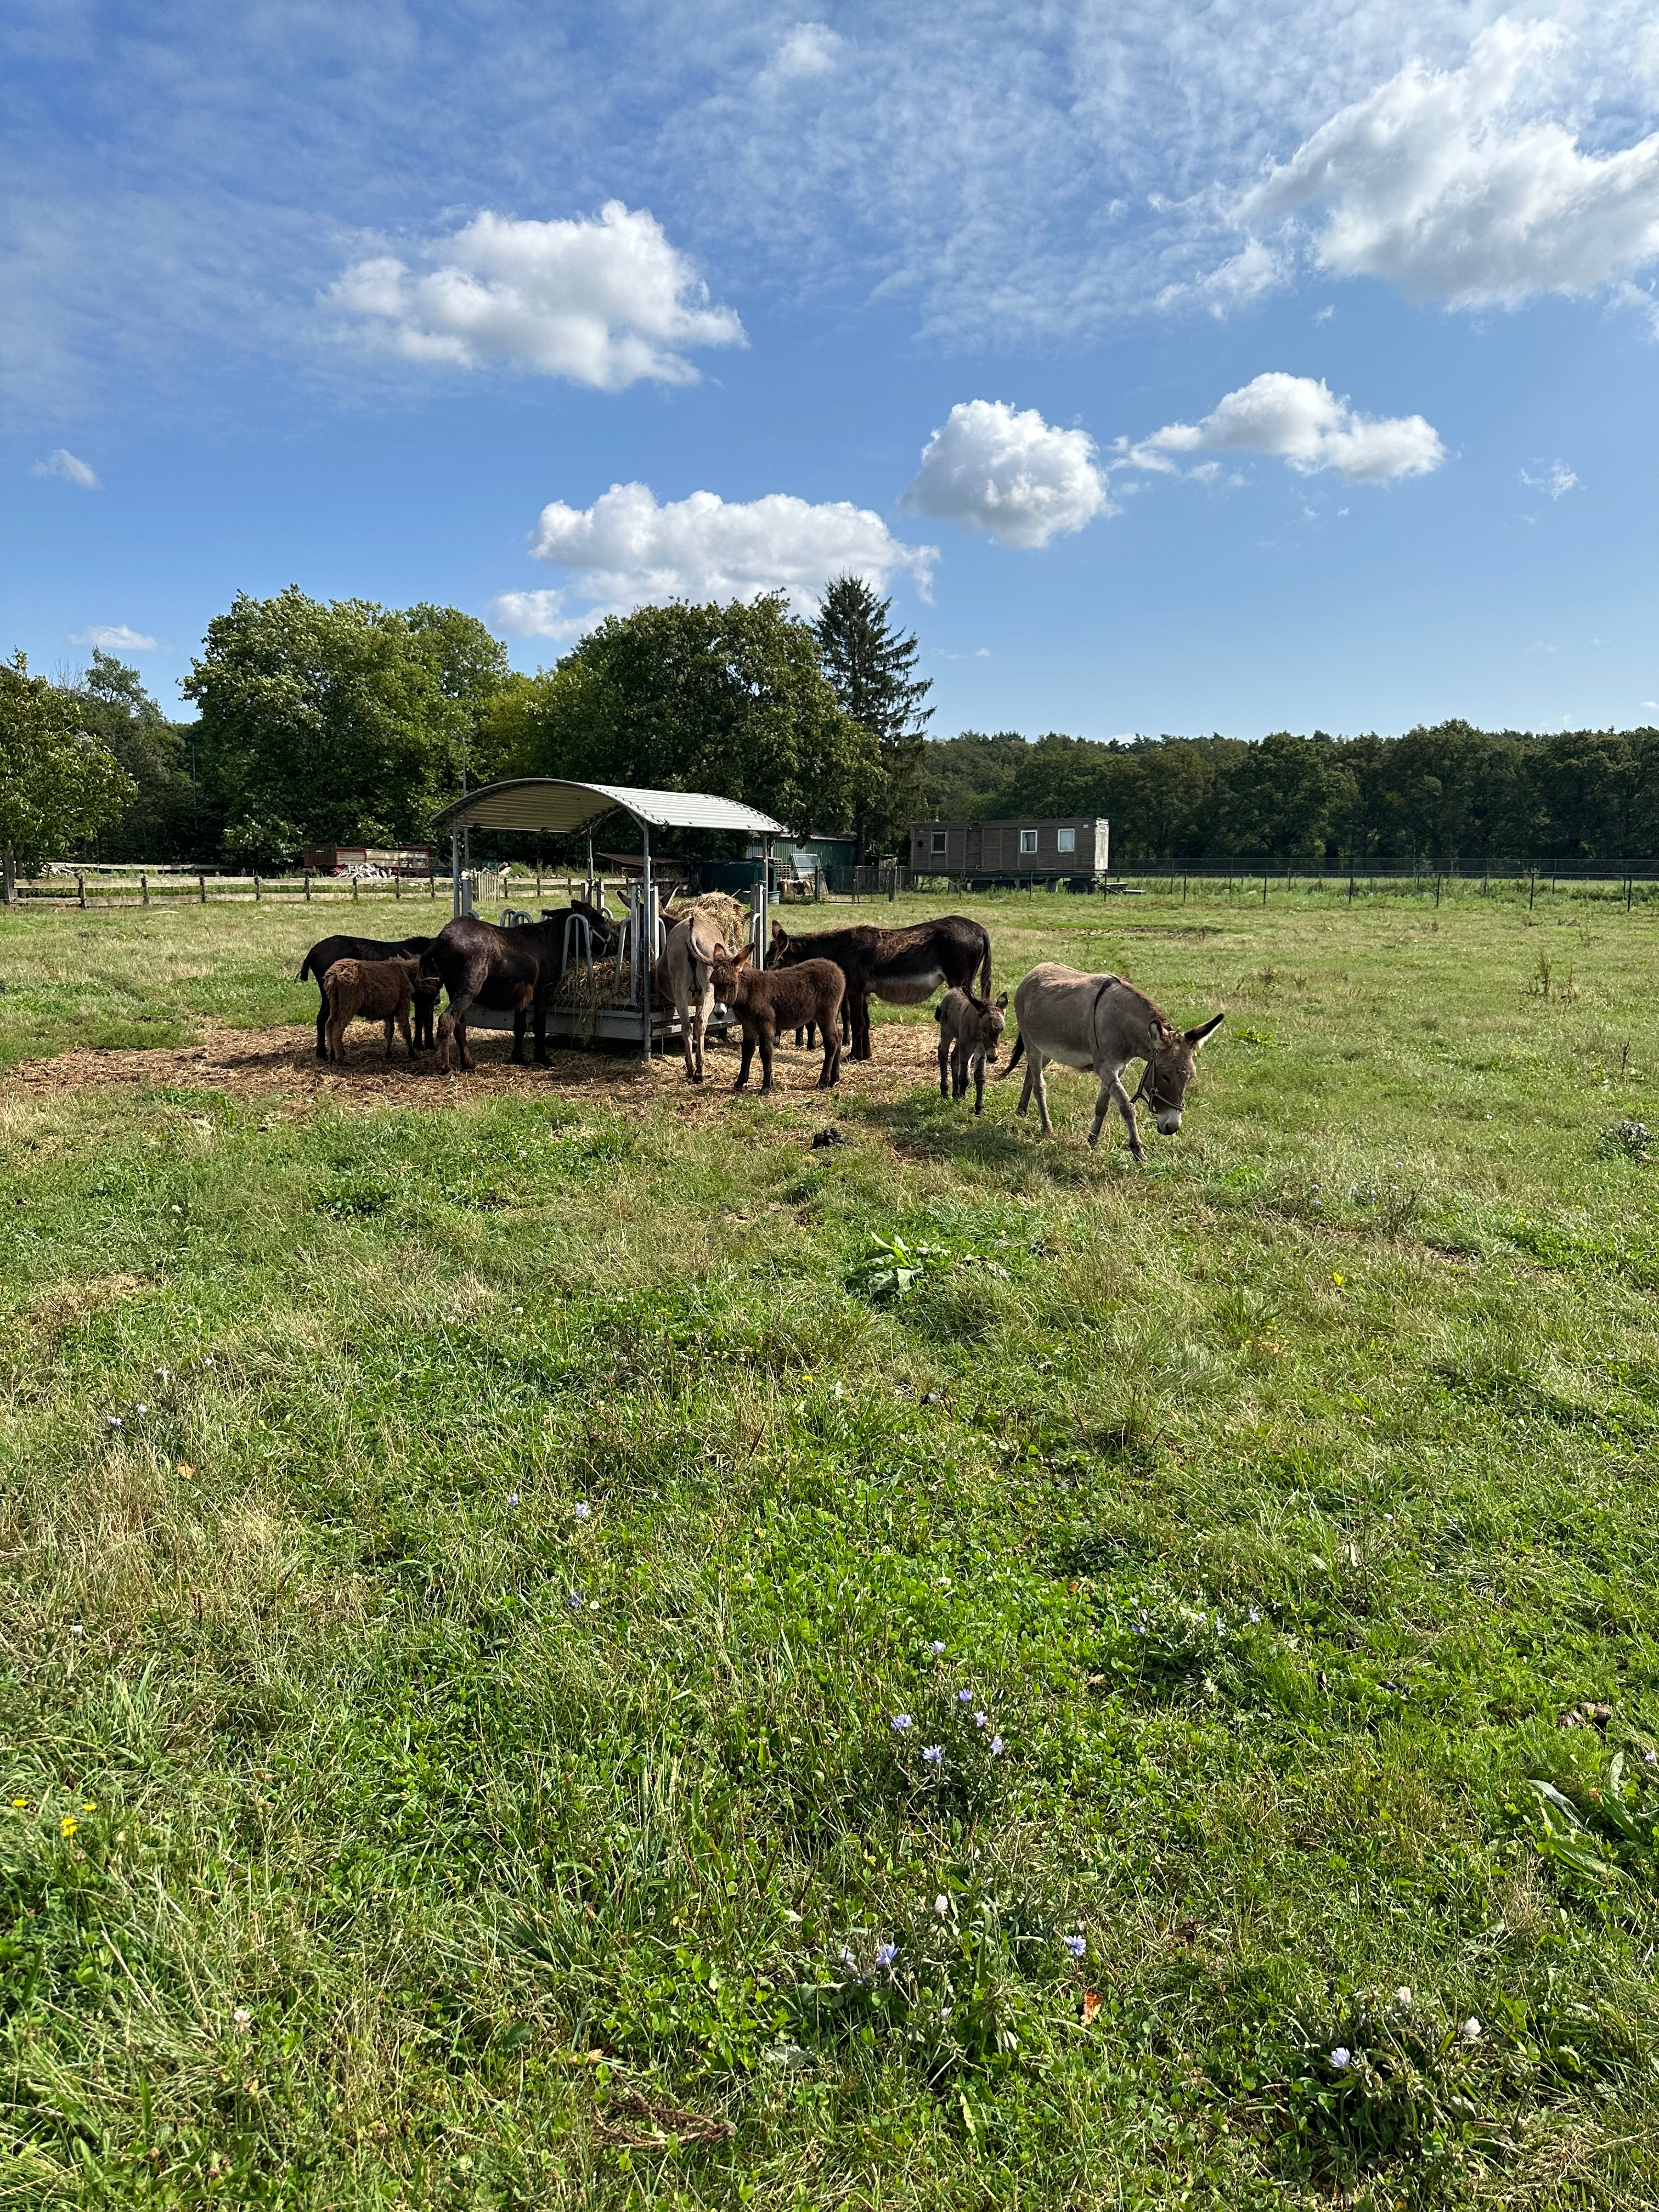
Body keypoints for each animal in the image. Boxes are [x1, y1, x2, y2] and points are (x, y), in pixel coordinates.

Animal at [712, 946, 849, 1092]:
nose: (719, 1013)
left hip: (825, 1014)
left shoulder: (766, 1025)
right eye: (714, 984)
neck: (748, 993)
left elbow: (766, 1052)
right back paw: (834, 1078)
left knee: (832, 1042)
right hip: (831, 1015)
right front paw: (740, 1082)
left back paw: (823, 1081)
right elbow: (747, 1051)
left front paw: (766, 1087)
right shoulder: (749, 1027)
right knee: (839, 1037)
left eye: (731, 985)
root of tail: (837, 970)